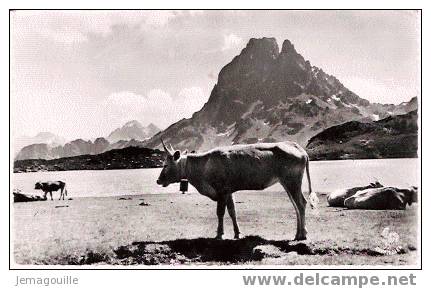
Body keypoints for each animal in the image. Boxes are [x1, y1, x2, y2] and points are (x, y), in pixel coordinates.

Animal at [157, 140, 318, 241]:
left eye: (165, 165)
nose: (158, 181)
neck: (204, 165)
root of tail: (298, 147)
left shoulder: (221, 190)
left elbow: (220, 212)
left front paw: (219, 234)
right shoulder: (229, 191)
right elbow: (232, 211)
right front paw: (237, 233)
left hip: (292, 181)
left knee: (301, 203)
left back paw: (302, 235)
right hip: (287, 183)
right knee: (296, 206)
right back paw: (297, 234)